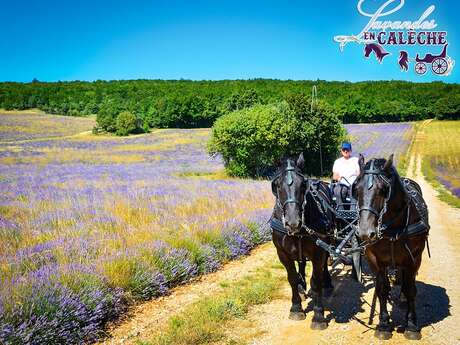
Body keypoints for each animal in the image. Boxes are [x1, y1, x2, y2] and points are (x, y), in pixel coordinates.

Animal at [270, 153, 334, 328]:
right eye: (277, 185)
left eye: (303, 184)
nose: (293, 222)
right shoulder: (282, 253)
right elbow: (291, 278)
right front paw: (296, 307)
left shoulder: (318, 252)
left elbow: (316, 280)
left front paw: (318, 315)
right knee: (302, 263)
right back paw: (302, 286)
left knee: (323, 264)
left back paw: (326, 283)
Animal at [352, 155, 432, 340]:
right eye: (356, 189)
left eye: (383, 190)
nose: (365, 232)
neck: (392, 227)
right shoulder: (374, 260)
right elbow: (382, 289)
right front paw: (383, 324)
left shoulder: (414, 259)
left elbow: (411, 290)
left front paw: (412, 325)